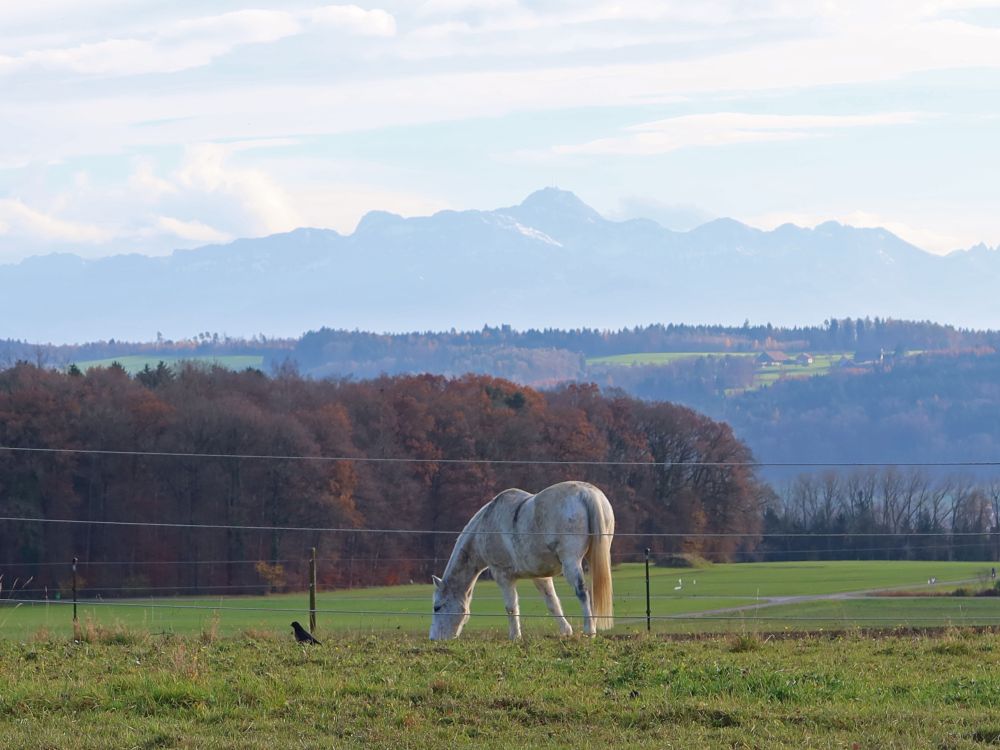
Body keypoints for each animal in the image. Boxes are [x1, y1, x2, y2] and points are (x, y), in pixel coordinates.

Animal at [429, 480, 614, 640]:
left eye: (437, 607)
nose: (433, 638)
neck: (487, 525)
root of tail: (586, 493)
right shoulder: (540, 576)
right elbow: (552, 602)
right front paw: (565, 631)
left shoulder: (502, 574)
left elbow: (511, 606)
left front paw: (515, 637)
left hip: (571, 562)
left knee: (582, 592)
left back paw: (589, 631)